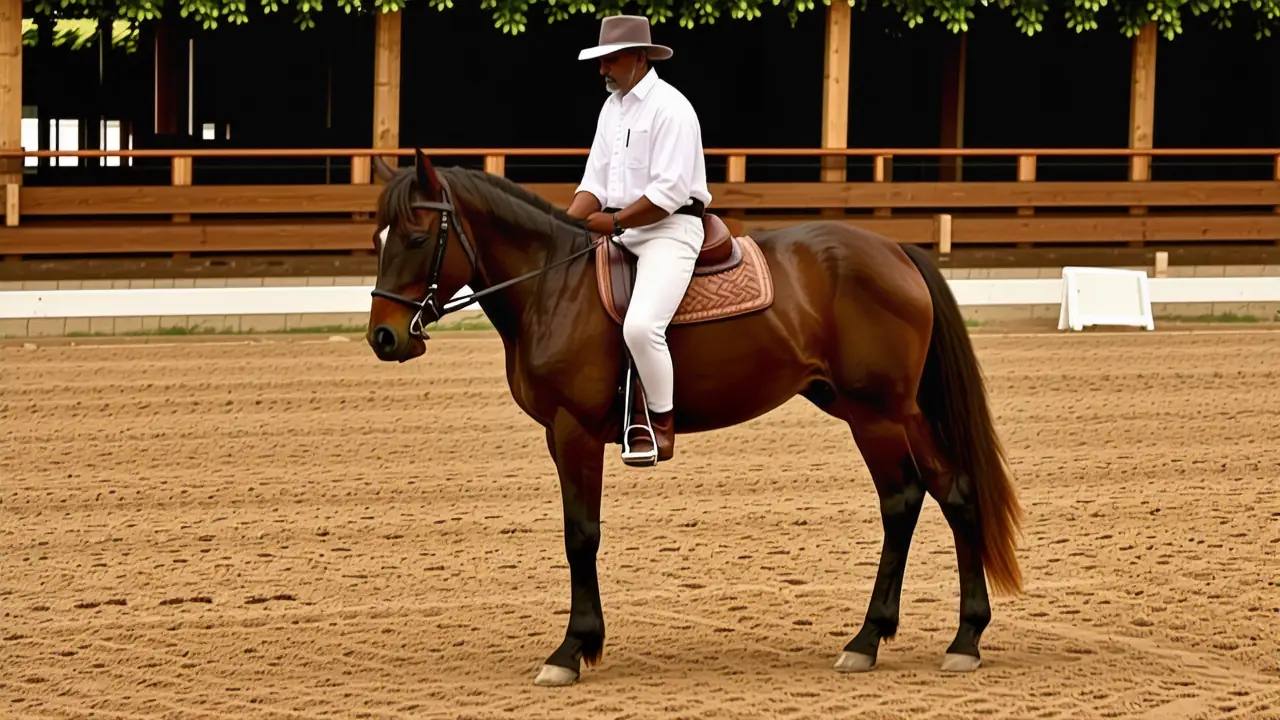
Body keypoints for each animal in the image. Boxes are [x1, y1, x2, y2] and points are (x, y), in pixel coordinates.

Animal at [364, 149, 1023, 687]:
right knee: (955, 492)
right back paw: (964, 638)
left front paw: (572, 650)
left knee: (902, 501)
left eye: (417, 238)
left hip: (876, 415)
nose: (384, 337)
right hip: (891, 410)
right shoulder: (559, 436)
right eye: (379, 238)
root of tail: (893, 250)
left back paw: (869, 640)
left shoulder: (575, 432)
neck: (554, 285)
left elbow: (582, 535)